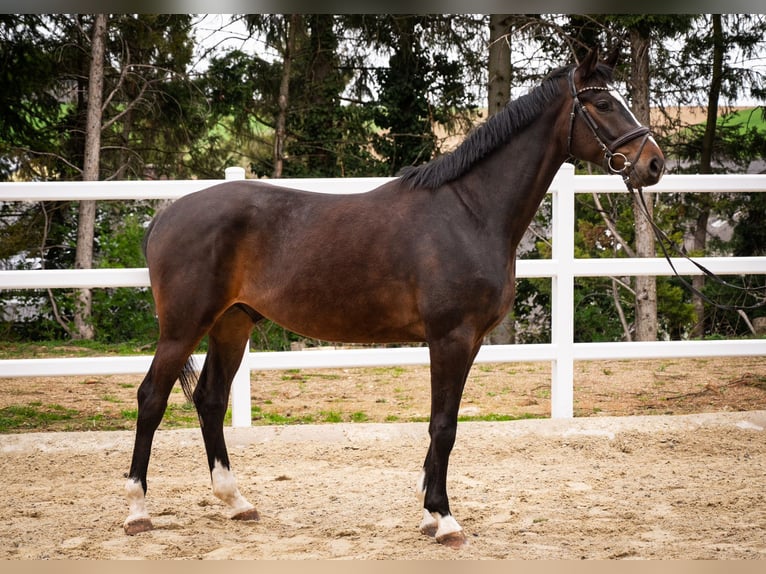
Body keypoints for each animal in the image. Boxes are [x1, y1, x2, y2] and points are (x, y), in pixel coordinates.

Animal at [123, 49, 664, 548]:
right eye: (603, 103)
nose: (654, 163)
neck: (471, 211)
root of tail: (165, 217)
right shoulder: (450, 338)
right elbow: (444, 426)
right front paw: (445, 520)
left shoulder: (468, 342)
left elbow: (442, 424)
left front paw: (428, 513)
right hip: (183, 328)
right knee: (151, 398)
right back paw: (137, 511)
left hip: (232, 324)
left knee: (210, 400)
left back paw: (236, 502)